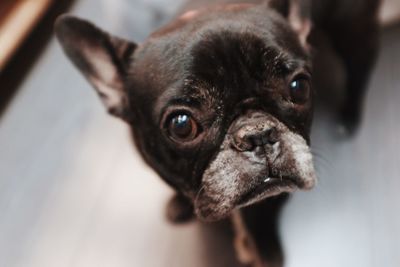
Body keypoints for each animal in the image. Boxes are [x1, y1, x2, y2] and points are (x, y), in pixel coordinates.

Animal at [54, 1, 380, 266]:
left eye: (299, 87)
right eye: (181, 125)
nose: (258, 134)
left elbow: (261, 216)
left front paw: (264, 250)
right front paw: (179, 203)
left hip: (350, 28)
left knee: (361, 65)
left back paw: (349, 115)